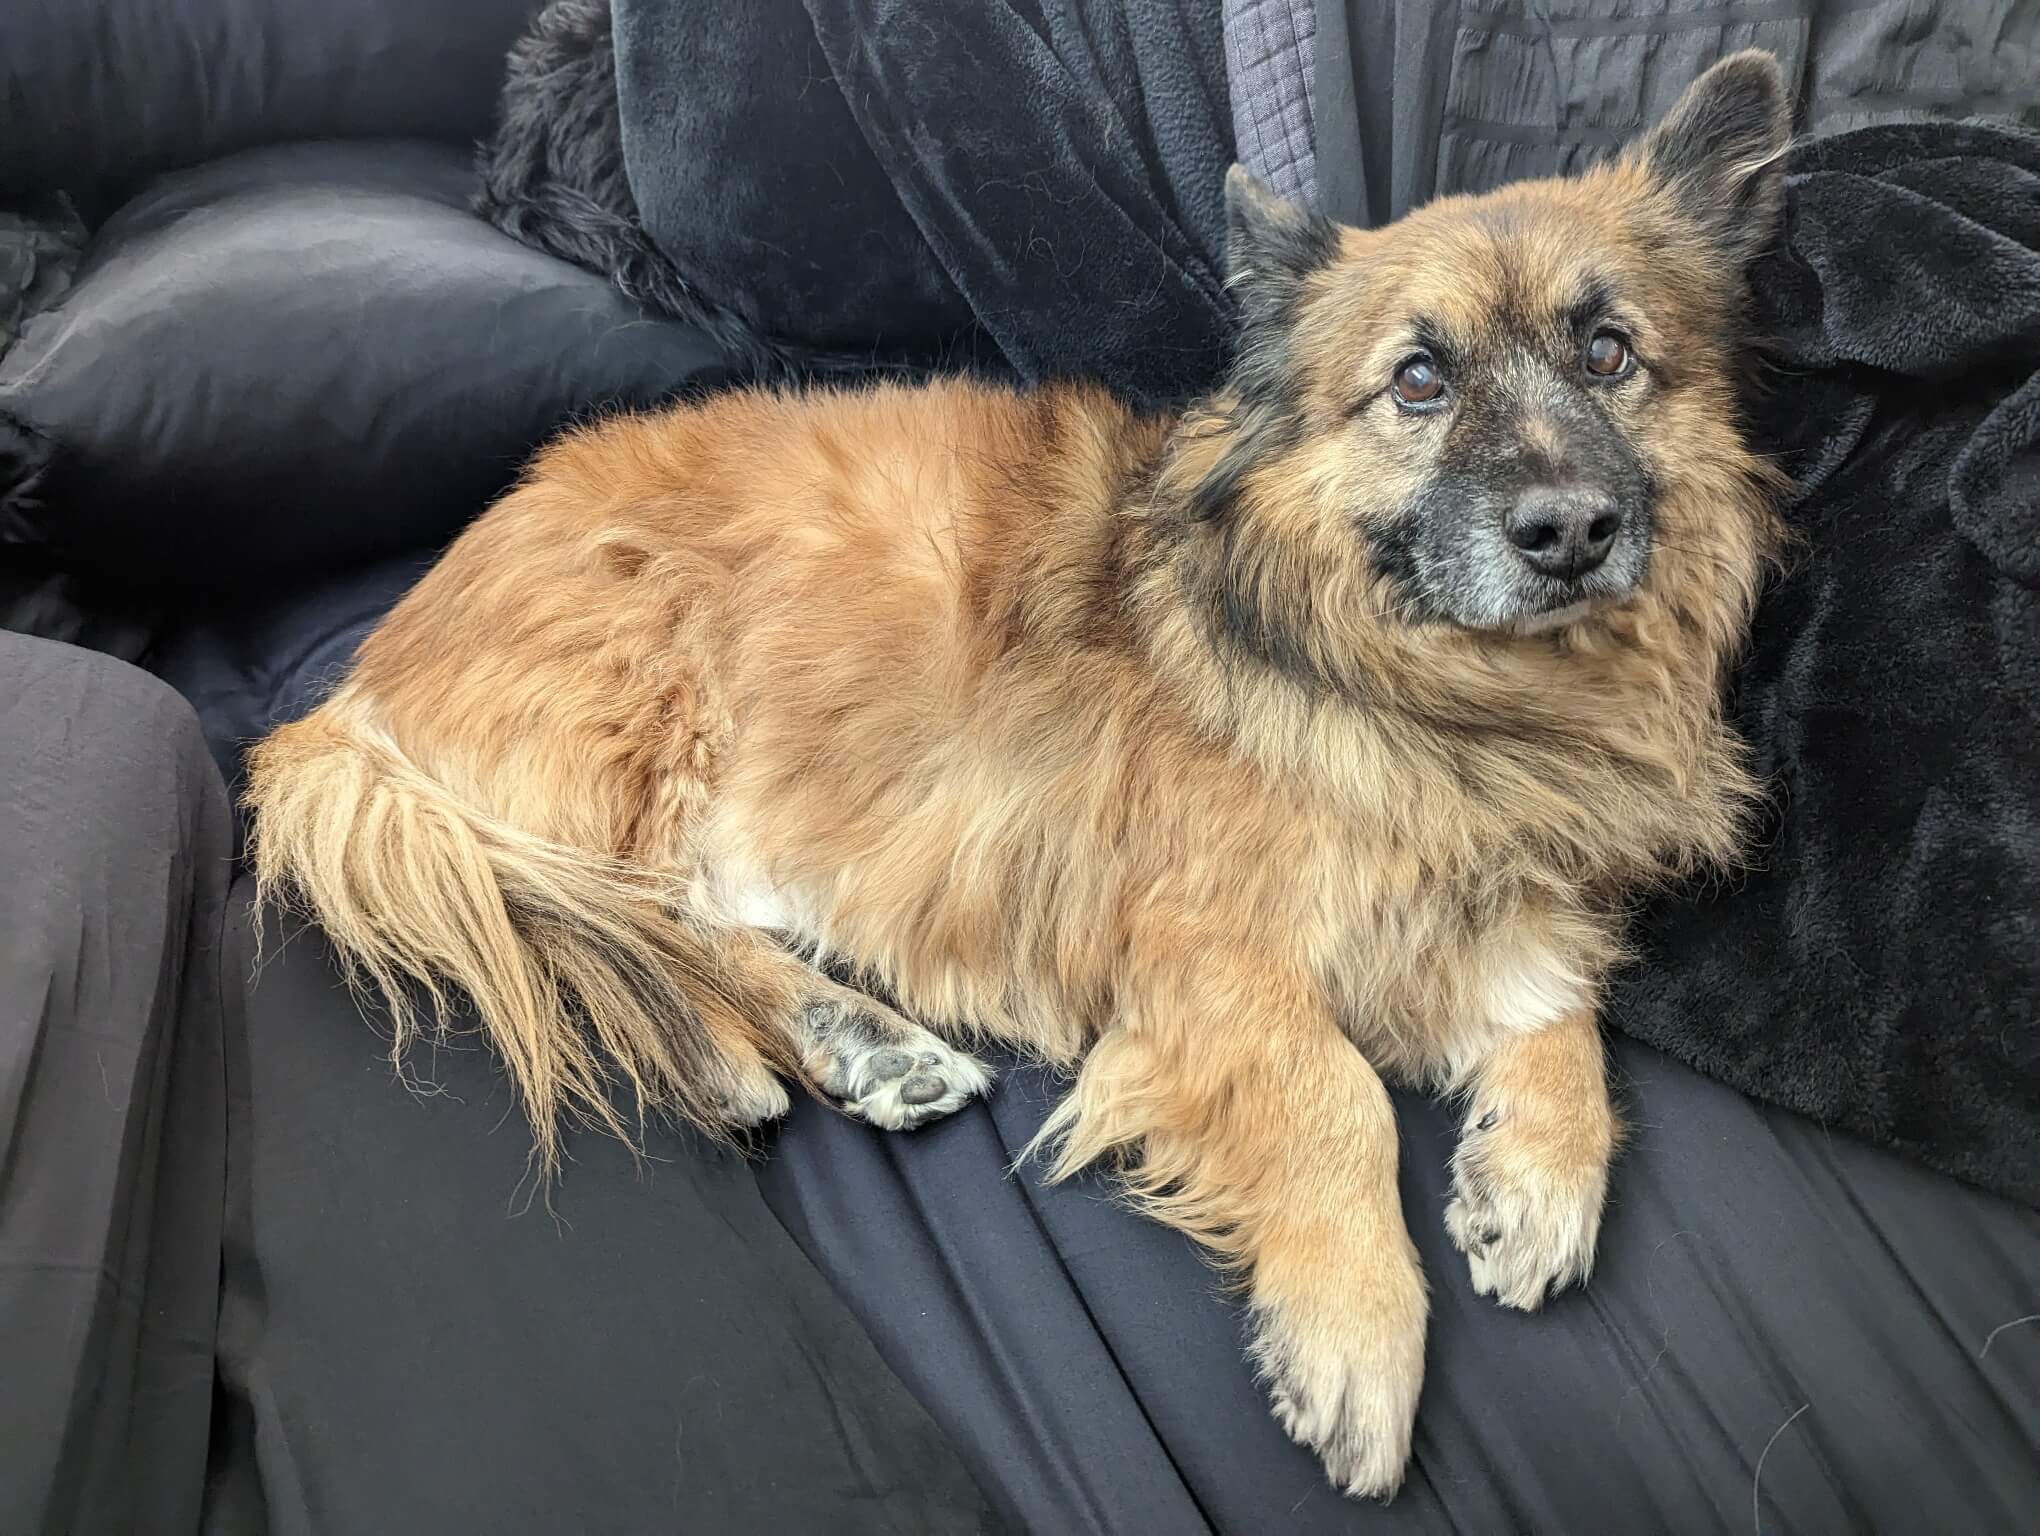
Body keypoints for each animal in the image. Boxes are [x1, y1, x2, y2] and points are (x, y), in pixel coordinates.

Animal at [246, 50, 1795, 1501]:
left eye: (1609, 353)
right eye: (1420, 380)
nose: (1574, 530)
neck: (1440, 689)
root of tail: (360, 681)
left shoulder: (1497, 897)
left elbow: (1560, 1008)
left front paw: (1538, 1169)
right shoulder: (1193, 947)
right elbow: (1337, 1092)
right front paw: (1357, 1333)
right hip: (643, 708)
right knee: (609, 914)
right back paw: (778, 1047)